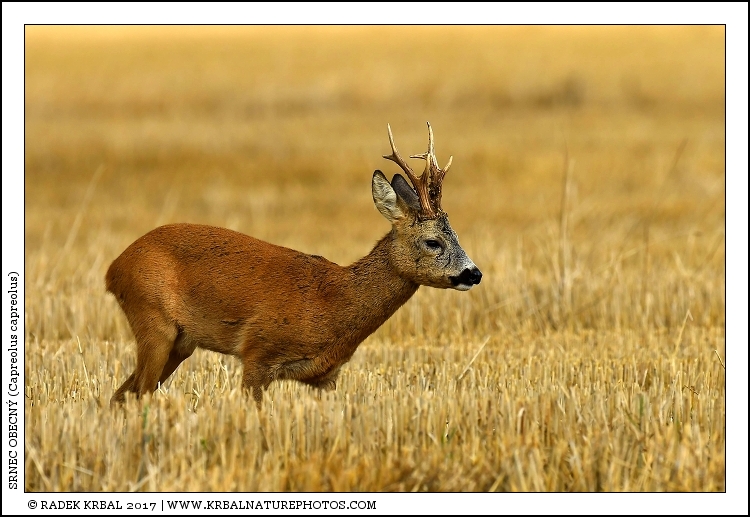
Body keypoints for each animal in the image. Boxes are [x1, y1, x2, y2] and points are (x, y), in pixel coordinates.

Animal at [106, 122, 482, 408]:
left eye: (457, 234)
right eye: (433, 242)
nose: (474, 273)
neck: (334, 303)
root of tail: (114, 268)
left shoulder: (327, 377)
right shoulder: (258, 351)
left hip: (180, 342)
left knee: (121, 395)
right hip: (153, 320)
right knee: (136, 393)